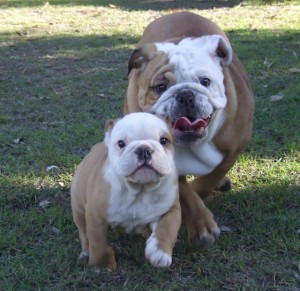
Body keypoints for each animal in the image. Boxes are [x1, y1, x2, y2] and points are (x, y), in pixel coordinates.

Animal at [71, 112, 180, 270]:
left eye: (164, 140)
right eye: (121, 143)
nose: (144, 150)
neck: (140, 190)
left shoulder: (171, 209)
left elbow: (167, 227)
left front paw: (160, 253)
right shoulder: (95, 216)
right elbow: (98, 243)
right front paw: (101, 264)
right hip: (79, 208)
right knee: (84, 234)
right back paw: (86, 253)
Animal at [123, 12, 253, 249]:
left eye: (205, 81)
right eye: (160, 87)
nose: (185, 94)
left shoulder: (235, 147)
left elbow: (211, 176)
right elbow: (184, 191)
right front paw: (201, 224)